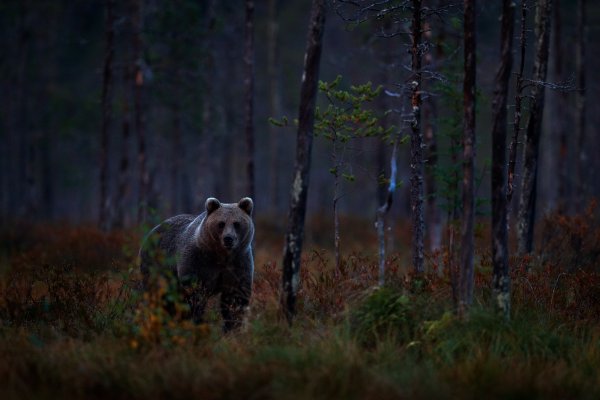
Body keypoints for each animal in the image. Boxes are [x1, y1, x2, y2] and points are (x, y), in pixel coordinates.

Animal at [139, 197, 254, 332]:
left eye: (236, 223)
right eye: (221, 223)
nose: (228, 238)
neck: (221, 255)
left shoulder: (238, 263)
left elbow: (236, 297)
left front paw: (233, 327)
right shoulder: (198, 261)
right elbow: (195, 293)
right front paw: (196, 321)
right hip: (157, 263)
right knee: (159, 294)